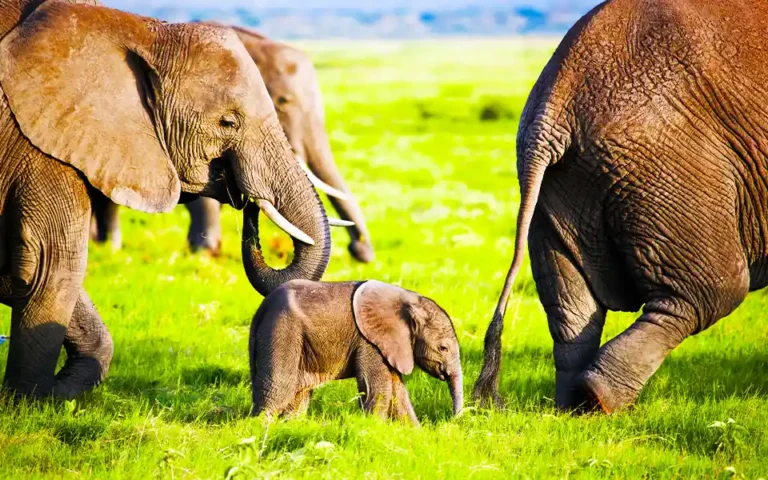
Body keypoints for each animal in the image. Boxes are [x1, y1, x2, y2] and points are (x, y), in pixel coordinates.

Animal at [0, 0, 332, 398]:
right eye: (228, 122)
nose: (248, 202)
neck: (137, 30)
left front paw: (55, 392)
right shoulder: (37, 143)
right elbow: (49, 265)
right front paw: (29, 402)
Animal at [250, 280, 463, 425]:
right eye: (443, 348)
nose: (452, 421)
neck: (408, 299)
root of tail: (261, 310)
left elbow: (398, 391)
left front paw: (415, 434)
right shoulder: (369, 341)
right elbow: (379, 388)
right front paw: (372, 429)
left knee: (298, 394)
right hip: (282, 330)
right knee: (279, 387)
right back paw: (261, 428)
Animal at [473, 0, 768, 413]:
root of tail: (555, 101)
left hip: (559, 186)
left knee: (571, 308)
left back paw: (573, 407)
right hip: (668, 161)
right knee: (709, 291)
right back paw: (600, 399)